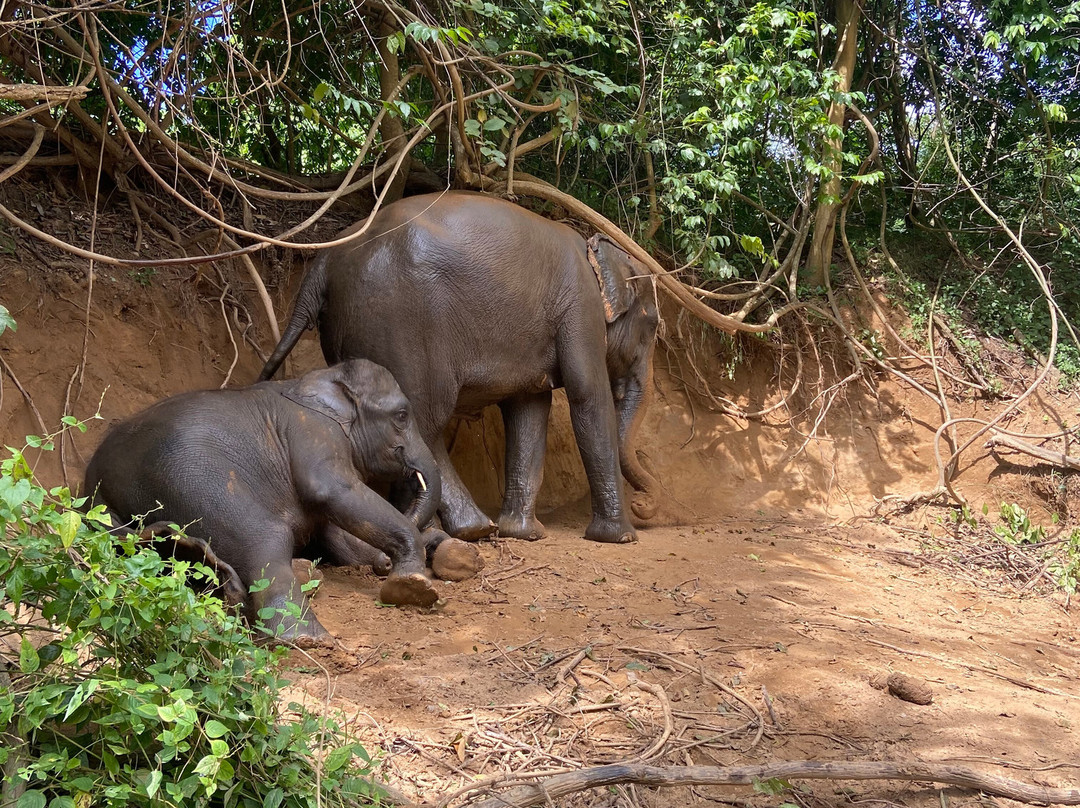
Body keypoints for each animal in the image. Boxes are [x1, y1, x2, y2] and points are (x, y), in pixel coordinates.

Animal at [83, 359, 449, 641]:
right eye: (402, 415)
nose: (386, 565)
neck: (319, 376)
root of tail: (93, 488)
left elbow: (335, 534)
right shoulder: (314, 432)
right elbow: (331, 491)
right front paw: (411, 585)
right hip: (188, 476)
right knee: (265, 537)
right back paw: (308, 640)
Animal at [258, 191, 661, 545]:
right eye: (654, 326)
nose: (644, 505)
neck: (601, 253)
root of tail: (325, 261)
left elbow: (529, 409)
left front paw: (524, 534)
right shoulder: (581, 307)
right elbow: (587, 395)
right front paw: (622, 538)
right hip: (398, 326)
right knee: (425, 418)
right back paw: (463, 530)